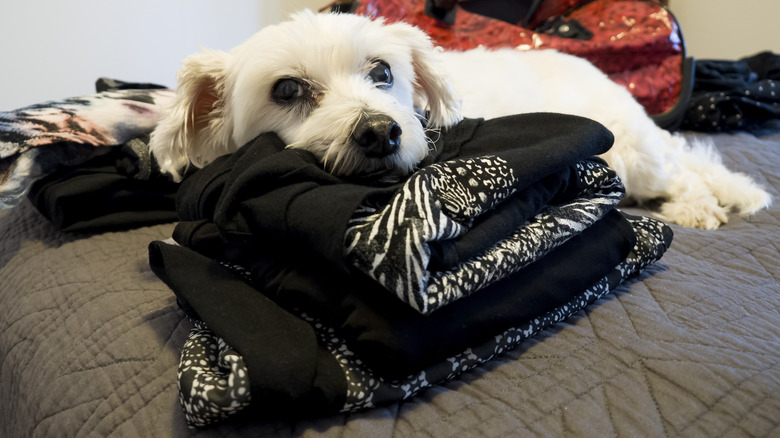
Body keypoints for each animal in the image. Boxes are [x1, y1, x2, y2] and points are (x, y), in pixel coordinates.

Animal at [149, 10, 772, 229]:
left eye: (382, 71)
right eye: (286, 90)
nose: (381, 132)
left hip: (633, 154)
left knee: (686, 171)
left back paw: (699, 206)